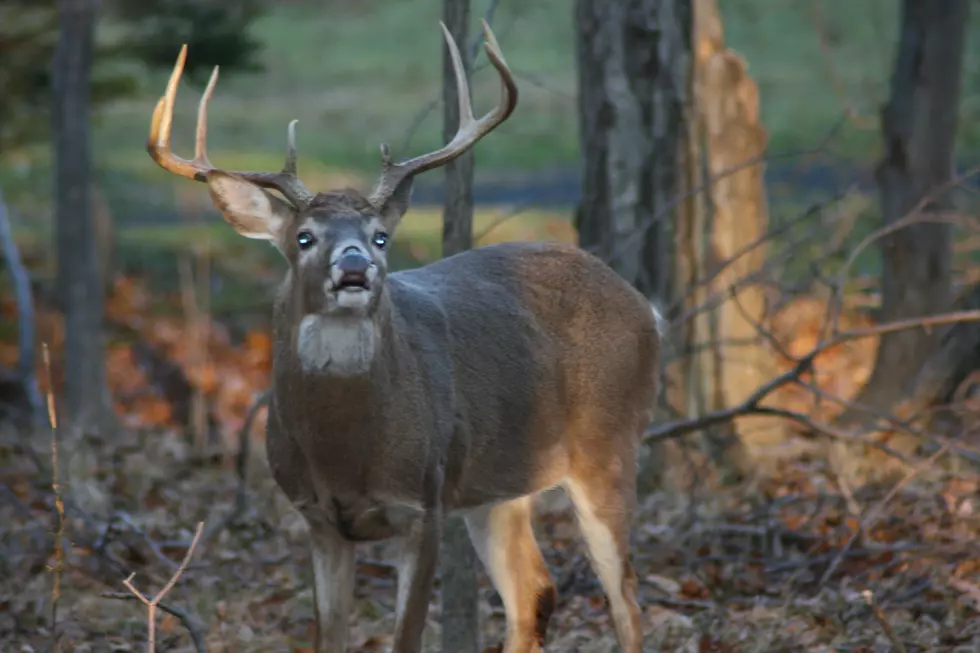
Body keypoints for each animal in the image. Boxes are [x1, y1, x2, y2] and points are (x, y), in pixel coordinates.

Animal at [145, 20, 664, 652]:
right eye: (304, 237)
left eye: (380, 236)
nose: (355, 265)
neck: (345, 452)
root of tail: (644, 306)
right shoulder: (317, 517)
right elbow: (329, 637)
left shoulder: (424, 502)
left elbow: (406, 637)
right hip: (500, 481)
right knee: (535, 593)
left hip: (606, 445)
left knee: (628, 602)